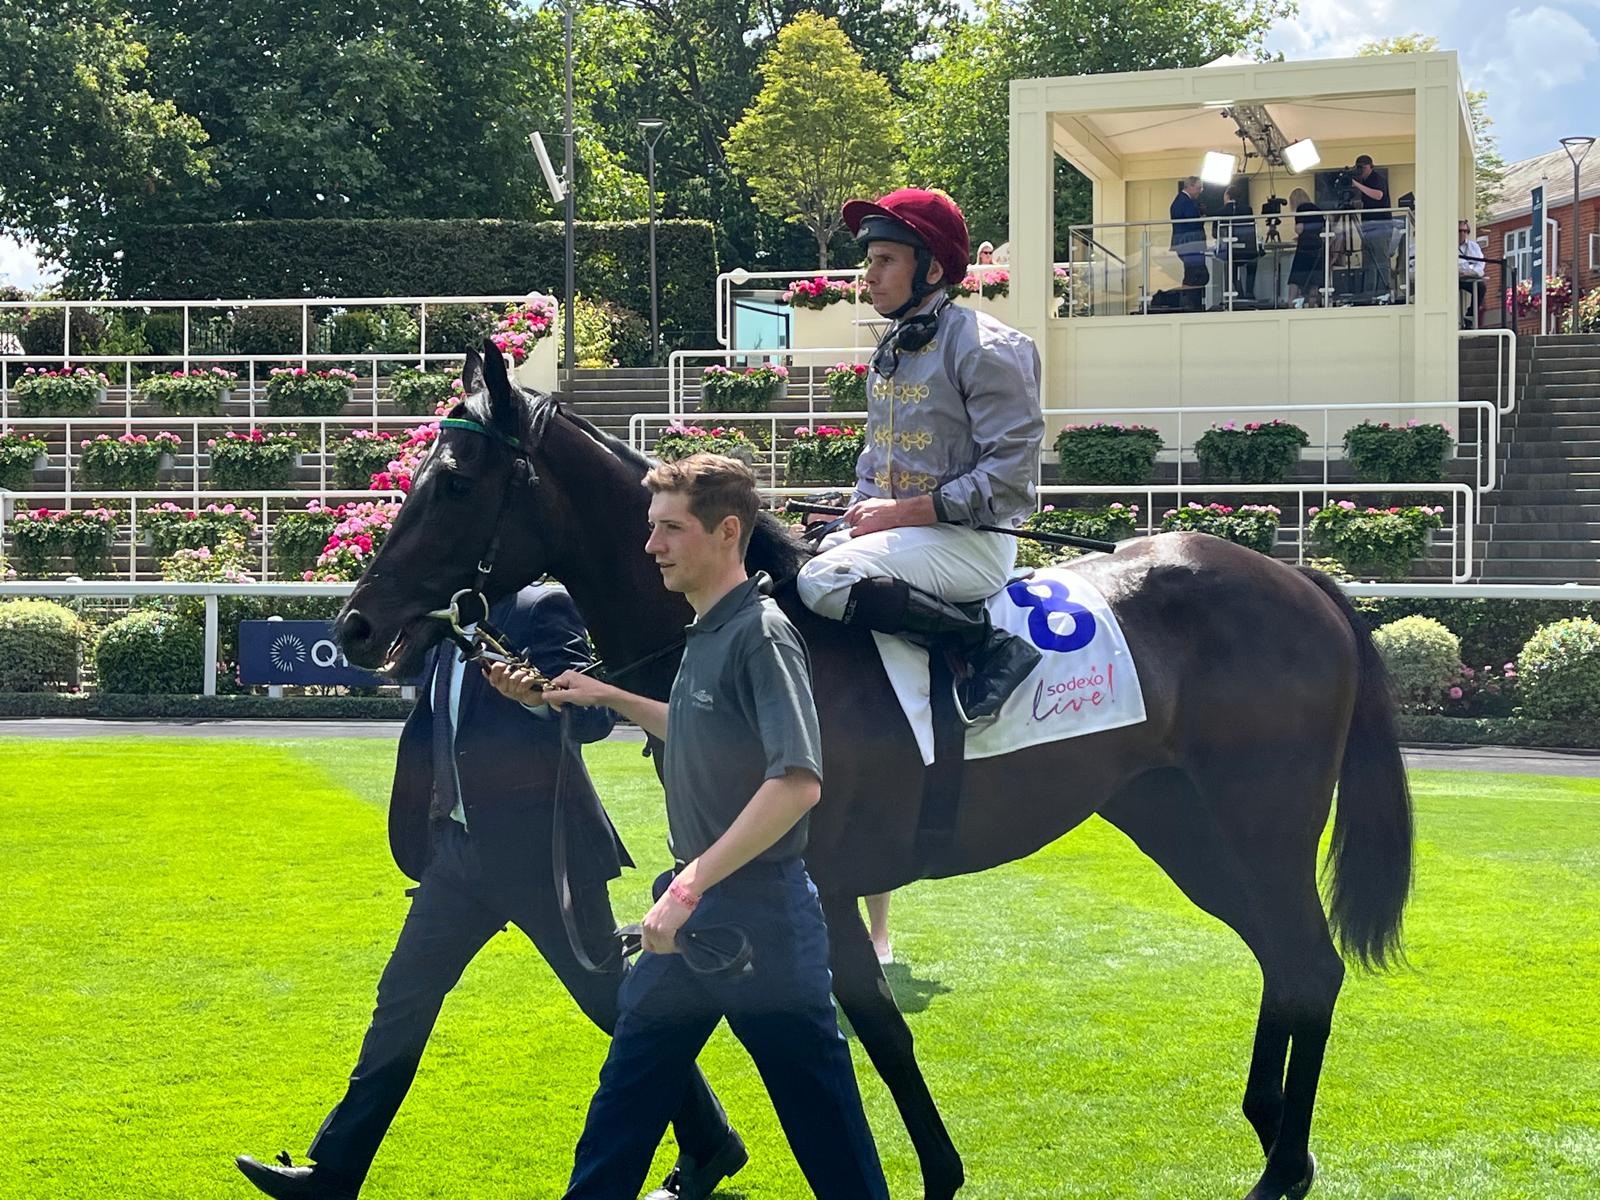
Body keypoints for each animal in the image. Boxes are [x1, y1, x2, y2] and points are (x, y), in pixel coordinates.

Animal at [337, 342, 1414, 1196]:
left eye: (456, 482)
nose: (355, 623)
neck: (755, 630)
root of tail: (1302, 580)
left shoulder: (818, 878)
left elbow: (870, 1028)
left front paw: (928, 1170)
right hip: (1180, 823)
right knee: (1281, 961)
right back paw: (1271, 1130)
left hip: (1262, 823)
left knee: (1310, 963)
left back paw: (1282, 1166)